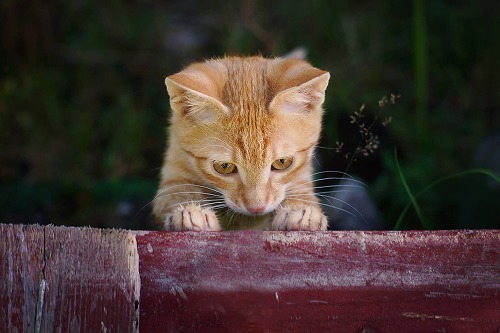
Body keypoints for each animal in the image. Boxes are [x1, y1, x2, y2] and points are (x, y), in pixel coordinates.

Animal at [152, 55, 332, 231]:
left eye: (282, 162)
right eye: (224, 166)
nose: (256, 208)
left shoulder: (303, 173)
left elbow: (300, 189)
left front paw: (300, 210)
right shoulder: (174, 168)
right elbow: (176, 192)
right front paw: (190, 211)